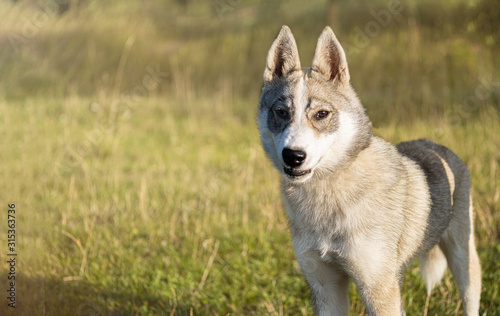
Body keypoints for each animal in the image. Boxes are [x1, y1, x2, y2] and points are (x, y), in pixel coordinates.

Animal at [258, 25, 480, 316]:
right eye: (281, 112)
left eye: (321, 114)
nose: (293, 156)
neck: (328, 194)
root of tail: (437, 146)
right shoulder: (325, 287)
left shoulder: (377, 289)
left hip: (463, 259)